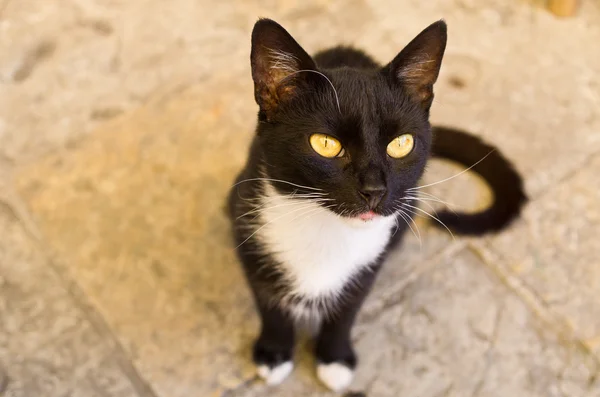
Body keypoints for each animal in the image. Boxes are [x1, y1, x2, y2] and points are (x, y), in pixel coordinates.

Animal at [225, 17, 524, 390]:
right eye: (325, 144)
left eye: (401, 143)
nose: (375, 190)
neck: (327, 230)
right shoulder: (248, 227)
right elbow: (268, 302)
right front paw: (274, 354)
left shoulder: (370, 260)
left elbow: (348, 309)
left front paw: (335, 359)